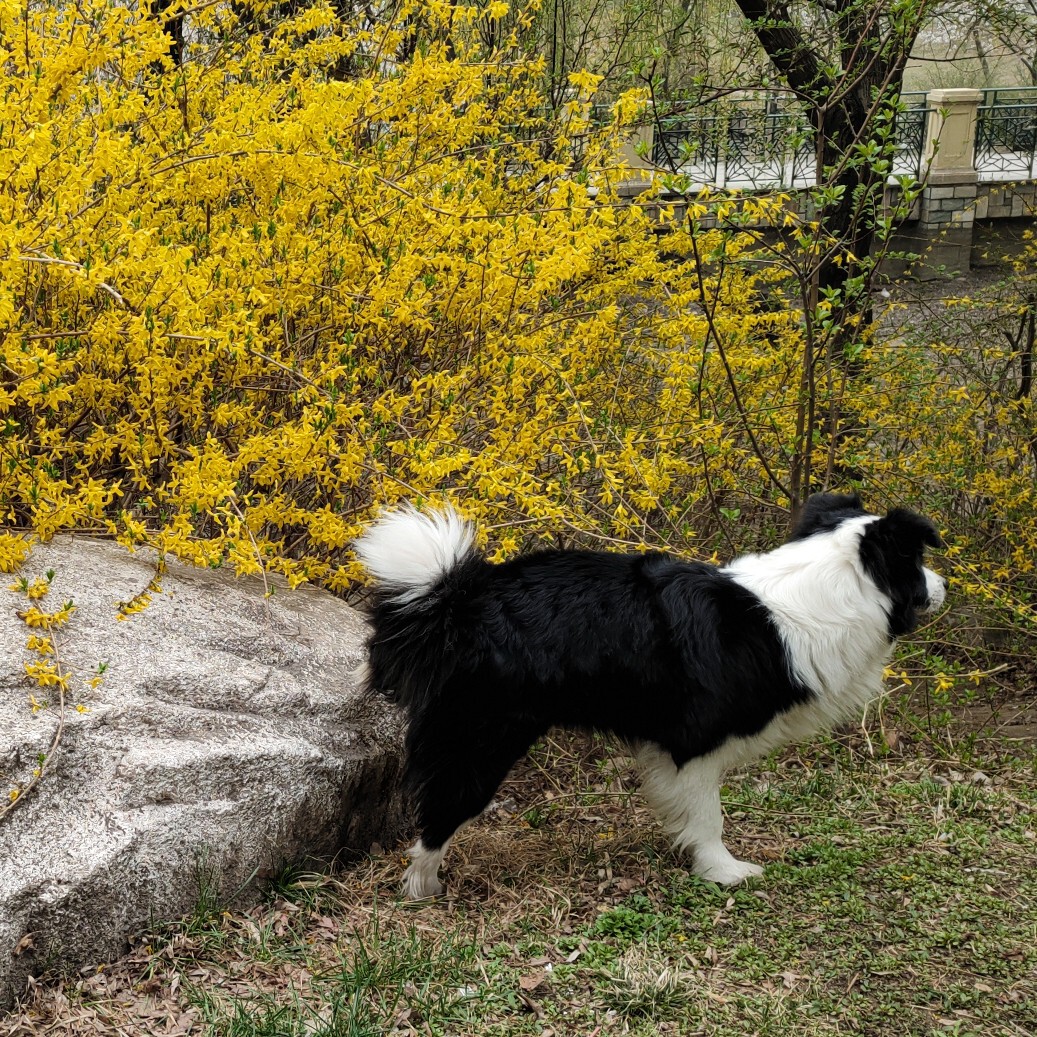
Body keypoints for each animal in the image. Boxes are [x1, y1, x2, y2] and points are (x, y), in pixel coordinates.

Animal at [356, 493, 949, 900]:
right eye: (919, 563)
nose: (944, 587)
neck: (822, 588)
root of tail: (462, 599)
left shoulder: (667, 750)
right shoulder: (697, 745)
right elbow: (710, 817)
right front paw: (723, 870)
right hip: (482, 739)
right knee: (440, 812)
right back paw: (423, 887)